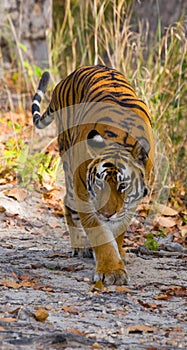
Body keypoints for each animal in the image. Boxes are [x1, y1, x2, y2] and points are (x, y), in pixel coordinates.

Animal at [32, 64, 154, 286]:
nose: (106, 214)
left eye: (123, 186)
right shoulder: (86, 199)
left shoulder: (131, 203)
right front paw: (112, 271)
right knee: (67, 201)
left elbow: (119, 229)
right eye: (99, 184)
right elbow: (101, 236)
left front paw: (119, 253)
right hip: (68, 160)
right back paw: (80, 246)